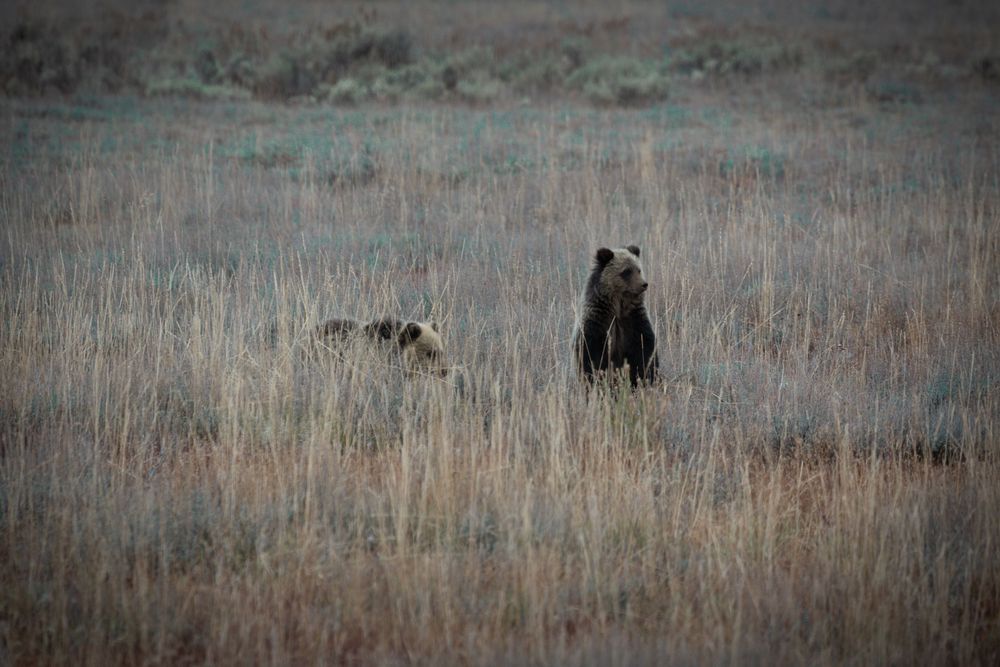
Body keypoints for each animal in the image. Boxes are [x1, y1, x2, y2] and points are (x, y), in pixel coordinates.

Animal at [571, 245, 658, 387]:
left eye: (639, 270)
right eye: (626, 271)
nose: (644, 284)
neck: (618, 307)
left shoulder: (634, 319)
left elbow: (644, 347)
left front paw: (640, 376)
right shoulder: (598, 320)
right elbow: (591, 354)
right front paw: (599, 378)